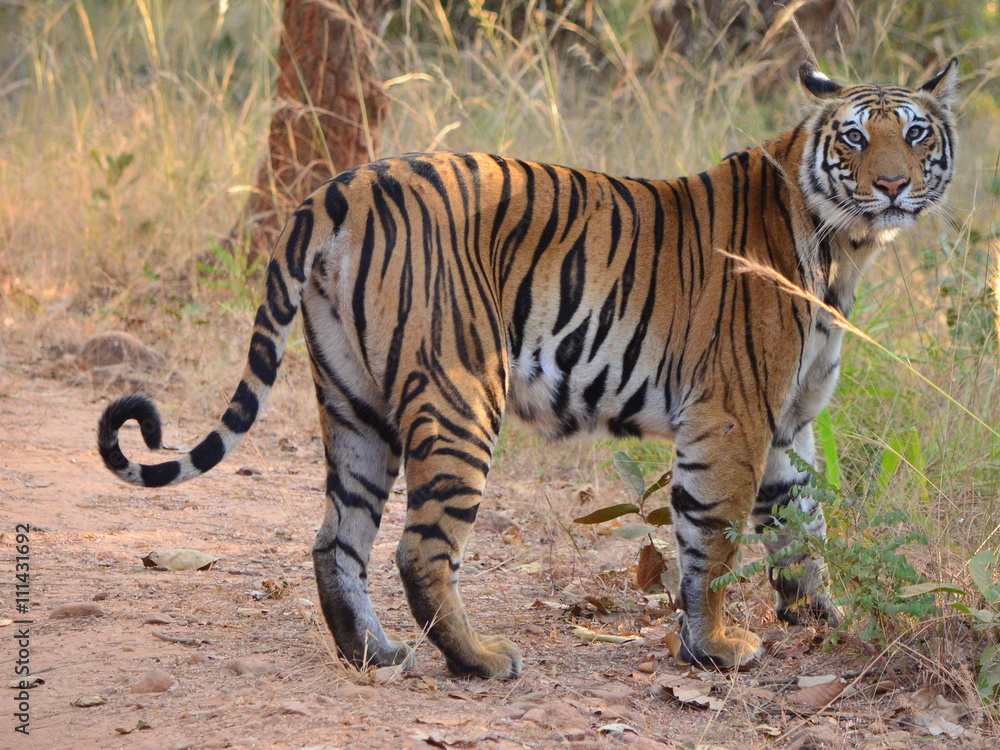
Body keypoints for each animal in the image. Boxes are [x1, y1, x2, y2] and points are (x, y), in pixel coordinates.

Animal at [98, 60, 958, 677]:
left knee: (335, 539)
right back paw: (479, 661)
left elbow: (804, 529)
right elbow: (713, 539)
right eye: (855, 139)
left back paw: (372, 654)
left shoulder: (790, 422)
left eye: (916, 134)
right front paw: (715, 649)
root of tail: (346, 186)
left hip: (354, 402)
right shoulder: (733, 416)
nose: (890, 184)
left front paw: (824, 620)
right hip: (460, 394)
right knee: (418, 548)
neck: (843, 245)